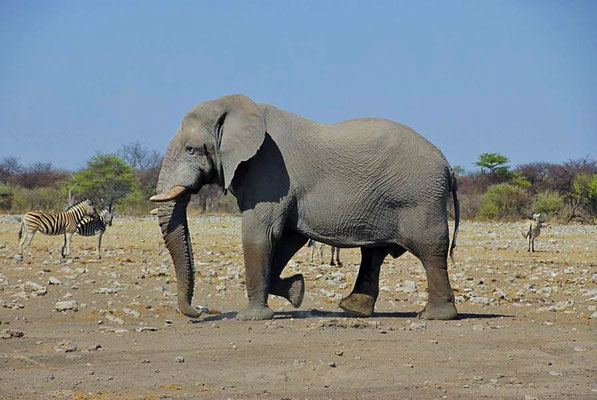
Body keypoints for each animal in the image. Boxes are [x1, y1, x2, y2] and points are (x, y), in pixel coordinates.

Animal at [151, 94, 458, 322]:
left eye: (191, 149)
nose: (200, 311)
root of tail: (448, 166)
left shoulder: (269, 170)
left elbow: (261, 233)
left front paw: (251, 317)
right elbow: (288, 237)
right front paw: (296, 290)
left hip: (418, 200)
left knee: (429, 249)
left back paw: (433, 316)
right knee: (374, 252)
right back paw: (353, 309)